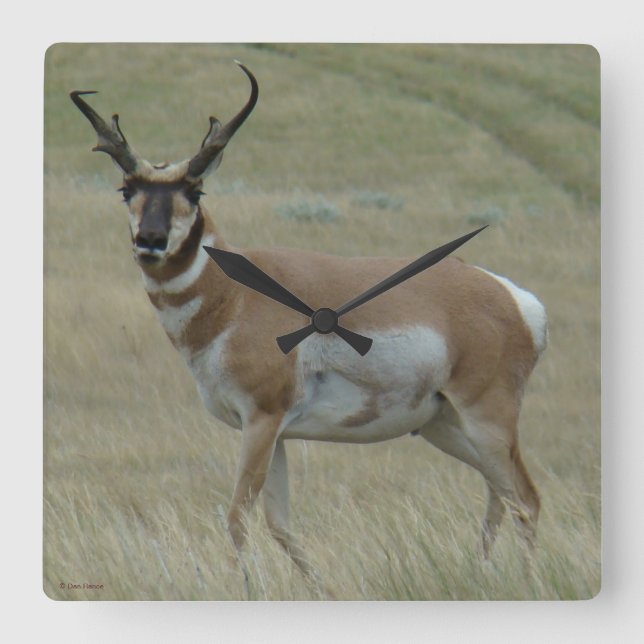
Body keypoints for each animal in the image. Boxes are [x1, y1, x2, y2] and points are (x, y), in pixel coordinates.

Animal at [71, 62, 547, 592]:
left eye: (194, 191)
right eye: (127, 190)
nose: (150, 240)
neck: (233, 294)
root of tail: (512, 297)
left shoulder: (261, 420)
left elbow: (238, 517)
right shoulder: (275, 432)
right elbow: (279, 523)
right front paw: (322, 587)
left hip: (487, 418)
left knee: (525, 499)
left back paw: (528, 581)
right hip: (443, 425)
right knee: (499, 493)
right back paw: (482, 570)